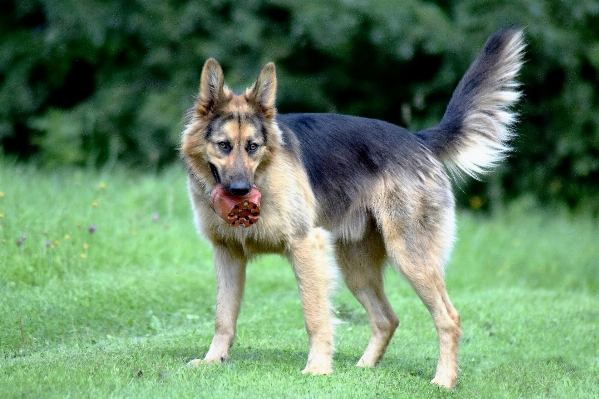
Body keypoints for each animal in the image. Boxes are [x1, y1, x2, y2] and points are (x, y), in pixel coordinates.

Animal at [182, 26, 524, 390]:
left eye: (252, 147)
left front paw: (318, 369)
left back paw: (443, 380)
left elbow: (315, 316)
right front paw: (213, 360)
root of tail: (419, 139)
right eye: (223, 146)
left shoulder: (305, 247)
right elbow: (223, 317)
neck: (264, 172)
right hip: (356, 268)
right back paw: (364, 368)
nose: (240, 191)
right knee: (387, 319)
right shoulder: (228, 255)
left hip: (410, 258)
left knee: (448, 318)